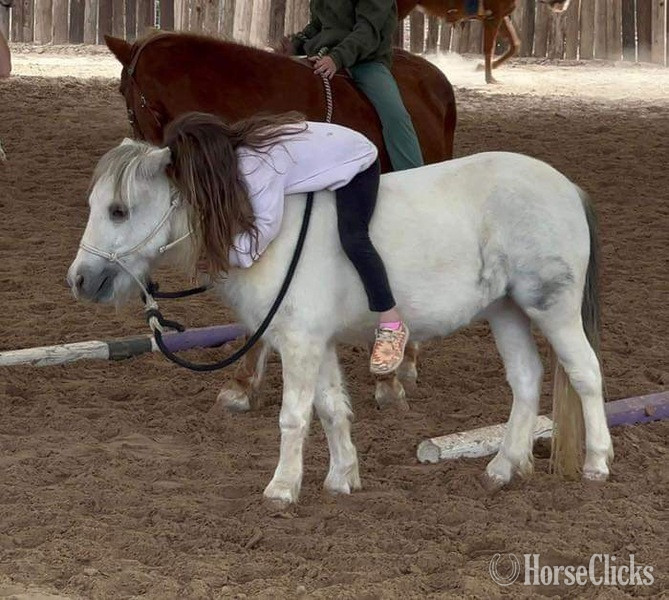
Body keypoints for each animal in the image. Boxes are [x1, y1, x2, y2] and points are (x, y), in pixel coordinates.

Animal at [67, 139, 613, 505]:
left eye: (119, 210)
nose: (80, 279)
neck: (268, 228)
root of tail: (567, 189)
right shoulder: (318, 343)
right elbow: (331, 409)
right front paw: (341, 478)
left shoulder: (299, 343)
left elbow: (294, 416)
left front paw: (282, 488)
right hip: (506, 311)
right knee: (526, 381)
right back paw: (504, 466)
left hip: (553, 309)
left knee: (585, 375)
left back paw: (596, 462)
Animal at [396, 0, 573, 84]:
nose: (563, 3)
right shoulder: (493, 17)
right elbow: (489, 48)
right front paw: (489, 78)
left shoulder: (499, 16)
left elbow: (514, 44)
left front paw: (481, 67)